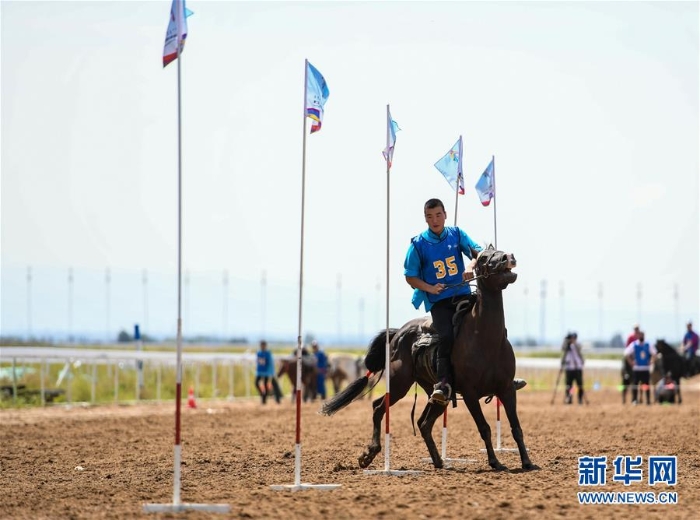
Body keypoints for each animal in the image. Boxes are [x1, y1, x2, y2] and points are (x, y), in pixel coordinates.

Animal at [322, 246, 536, 474]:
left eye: (499, 251)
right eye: (483, 258)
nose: (507, 258)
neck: (486, 340)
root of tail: (398, 334)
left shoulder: (507, 389)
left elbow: (516, 428)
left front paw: (527, 462)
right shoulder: (470, 394)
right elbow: (484, 428)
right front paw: (495, 462)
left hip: (436, 394)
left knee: (423, 423)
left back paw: (438, 461)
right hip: (398, 384)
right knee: (378, 408)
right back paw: (369, 454)